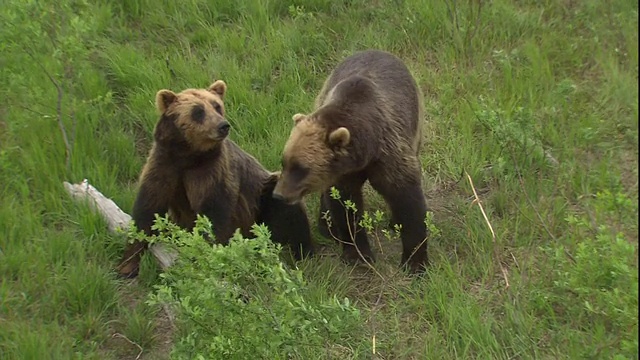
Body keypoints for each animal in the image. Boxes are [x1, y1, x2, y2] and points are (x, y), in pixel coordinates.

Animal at [117, 79, 316, 278]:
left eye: (217, 106)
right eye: (198, 111)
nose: (223, 125)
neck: (188, 156)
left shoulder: (213, 172)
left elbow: (213, 215)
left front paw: (205, 257)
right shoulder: (164, 166)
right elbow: (147, 209)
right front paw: (127, 265)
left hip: (261, 201)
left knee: (287, 209)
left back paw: (301, 252)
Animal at [272, 47, 430, 272]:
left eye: (301, 168)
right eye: (284, 162)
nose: (279, 195)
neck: (365, 149)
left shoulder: (389, 153)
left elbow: (407, 199)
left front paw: (415, 262)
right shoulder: (342, 172)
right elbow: (346, 206)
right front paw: (358, 255)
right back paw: (326, 226)